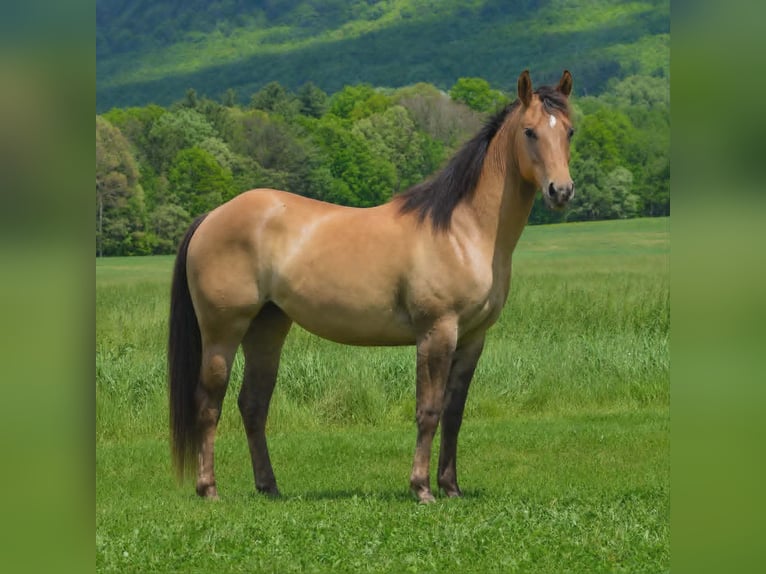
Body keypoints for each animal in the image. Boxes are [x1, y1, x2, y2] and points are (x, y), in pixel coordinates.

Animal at [168, 70, 575, 503]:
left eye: (569, 130)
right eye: (530, 131)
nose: (561, 191)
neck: (462, 231)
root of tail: (213, 216)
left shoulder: (472, 339)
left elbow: (454, 413)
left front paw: (451, 487)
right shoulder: (436, 333)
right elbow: (428, 411)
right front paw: (422, 488)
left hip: (267, 328)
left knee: (253, 404)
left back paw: (269, 487)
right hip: (222, 332)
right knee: (208, 404)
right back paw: (209, 489)